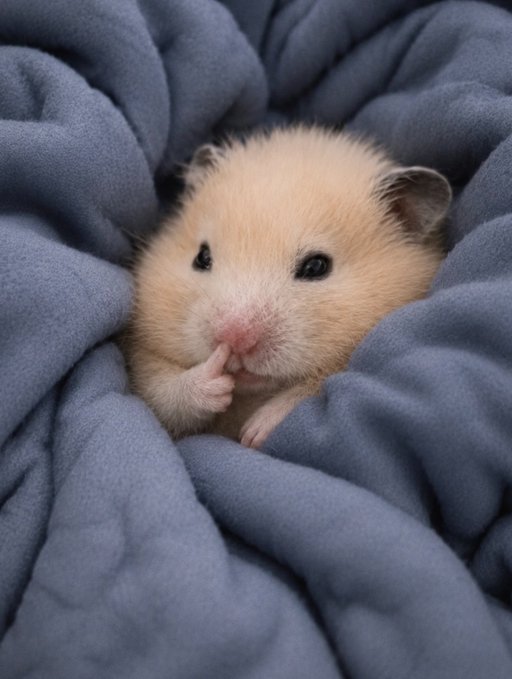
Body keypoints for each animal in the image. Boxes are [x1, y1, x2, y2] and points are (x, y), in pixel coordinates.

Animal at [125, 126, 451, 448]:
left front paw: (253, 432)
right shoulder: (144, 360)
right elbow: (164, 395)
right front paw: (214, 378)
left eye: (317, 267)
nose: (233, 338)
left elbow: (310, 388)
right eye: (201, 258)